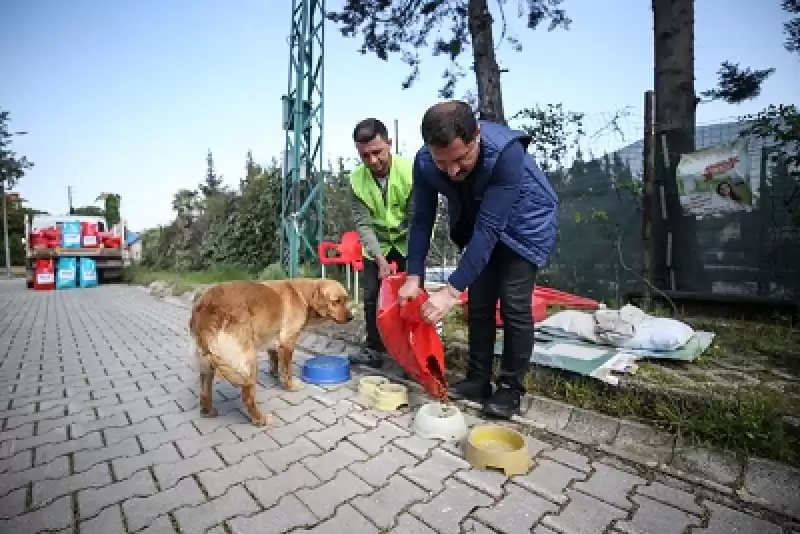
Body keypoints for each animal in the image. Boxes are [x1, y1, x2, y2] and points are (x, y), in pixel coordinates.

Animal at [189, 280, 352, 428]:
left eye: (346, 299)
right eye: (336, 301)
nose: (351, 318)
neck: (302, 295)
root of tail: (206, 306)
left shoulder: (274, 340)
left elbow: (274, 360)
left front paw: (274, 374)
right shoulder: (288, 342)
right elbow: (287, 370)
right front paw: (289, 386)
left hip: (207, 362)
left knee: (204, 391)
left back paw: (208, 411)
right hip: (248, 361)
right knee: (247, 397)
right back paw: (260, 419)